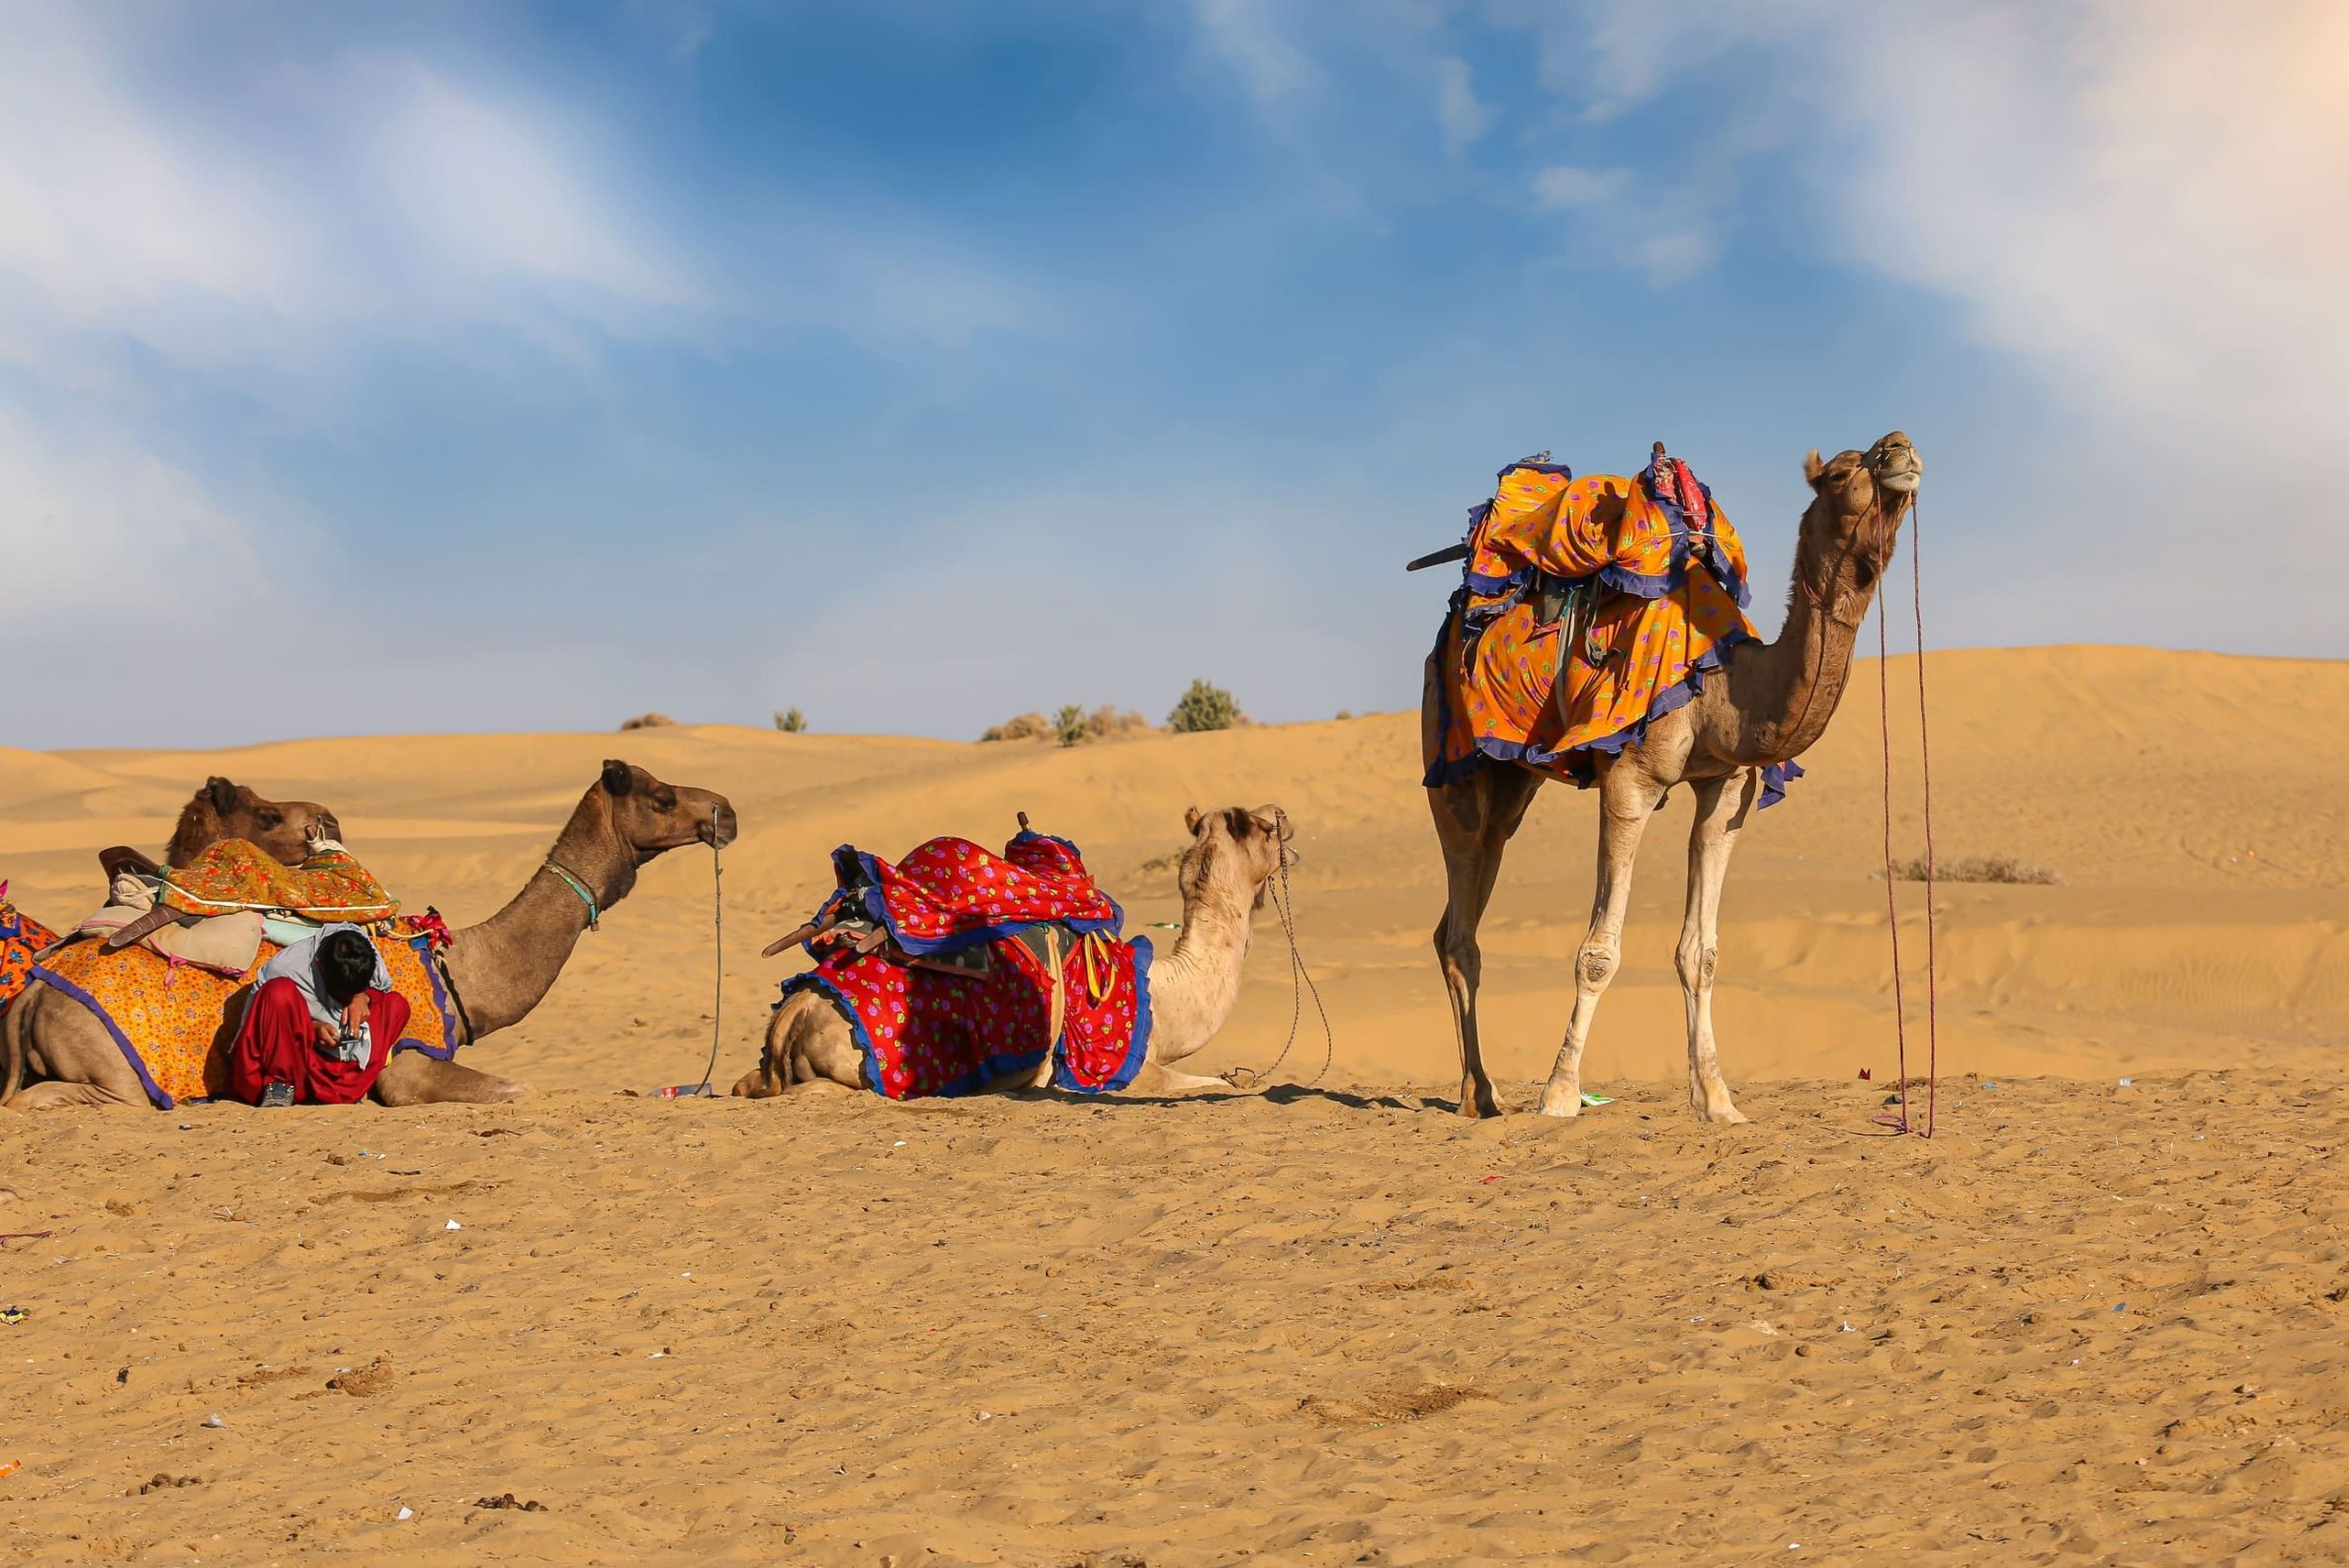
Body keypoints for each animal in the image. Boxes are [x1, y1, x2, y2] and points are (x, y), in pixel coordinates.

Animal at [4, 760, 737, 1110]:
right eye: (661, 797)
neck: (458, 970)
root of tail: (29, 996)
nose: (725, 812)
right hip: (113, 1073)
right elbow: (519, 1089)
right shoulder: (405, 1066)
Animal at [732, 804, 1294, 1099]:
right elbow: (1220, 1083)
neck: (1169, 993)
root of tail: (794, 1013)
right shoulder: (1119, 1069)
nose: (1282, 814)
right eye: (1261, 826)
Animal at [1428, 432, 1922, 1123]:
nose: (1900, 448)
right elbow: (1598, 953)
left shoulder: (1727, 789)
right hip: (1453, 762)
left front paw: (1717, 1101)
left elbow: (1701, 953)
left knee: (1461, 909)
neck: (1725, 690)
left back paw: (1479, 1093)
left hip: (1513, 786)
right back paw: (1481, 1095)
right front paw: (1560, 1096)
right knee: (1462, 923)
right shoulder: (1629, 782)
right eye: (1842, 471)